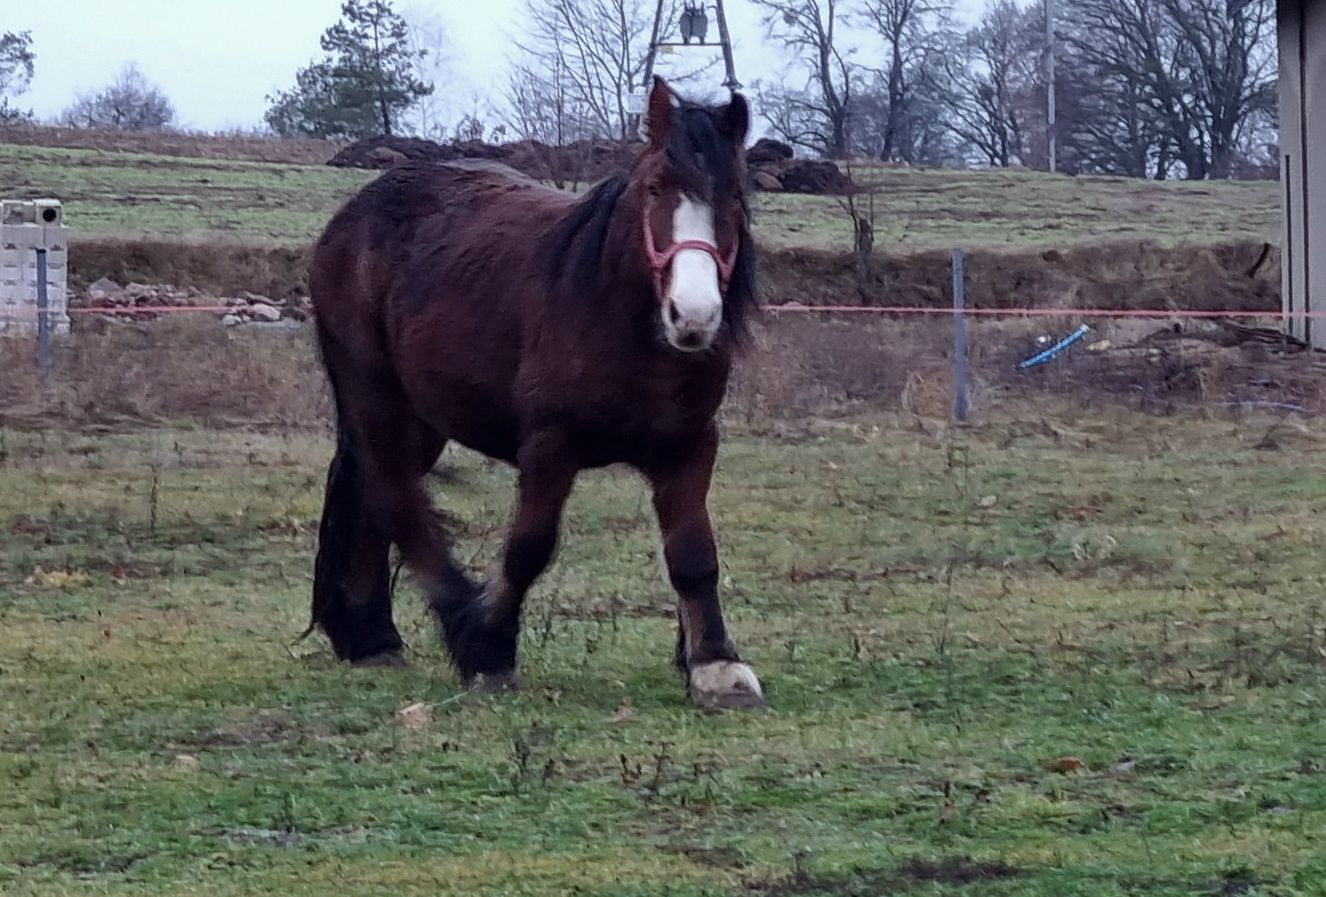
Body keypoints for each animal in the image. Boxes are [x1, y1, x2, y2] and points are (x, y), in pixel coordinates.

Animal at [303, 76, 763, 711]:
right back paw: (454, 619)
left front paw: (716, 665)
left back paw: (372, 637)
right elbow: (529, 547)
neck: (619, 320)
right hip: (374, 395)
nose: (692, 315)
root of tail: (352, 215)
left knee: (375, 492)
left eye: (735, 197)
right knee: (396, 494)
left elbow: (694, 554)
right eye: (655, 188)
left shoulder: (690, 446)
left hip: (423, 417)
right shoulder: (550, 445)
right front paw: (491, 646)